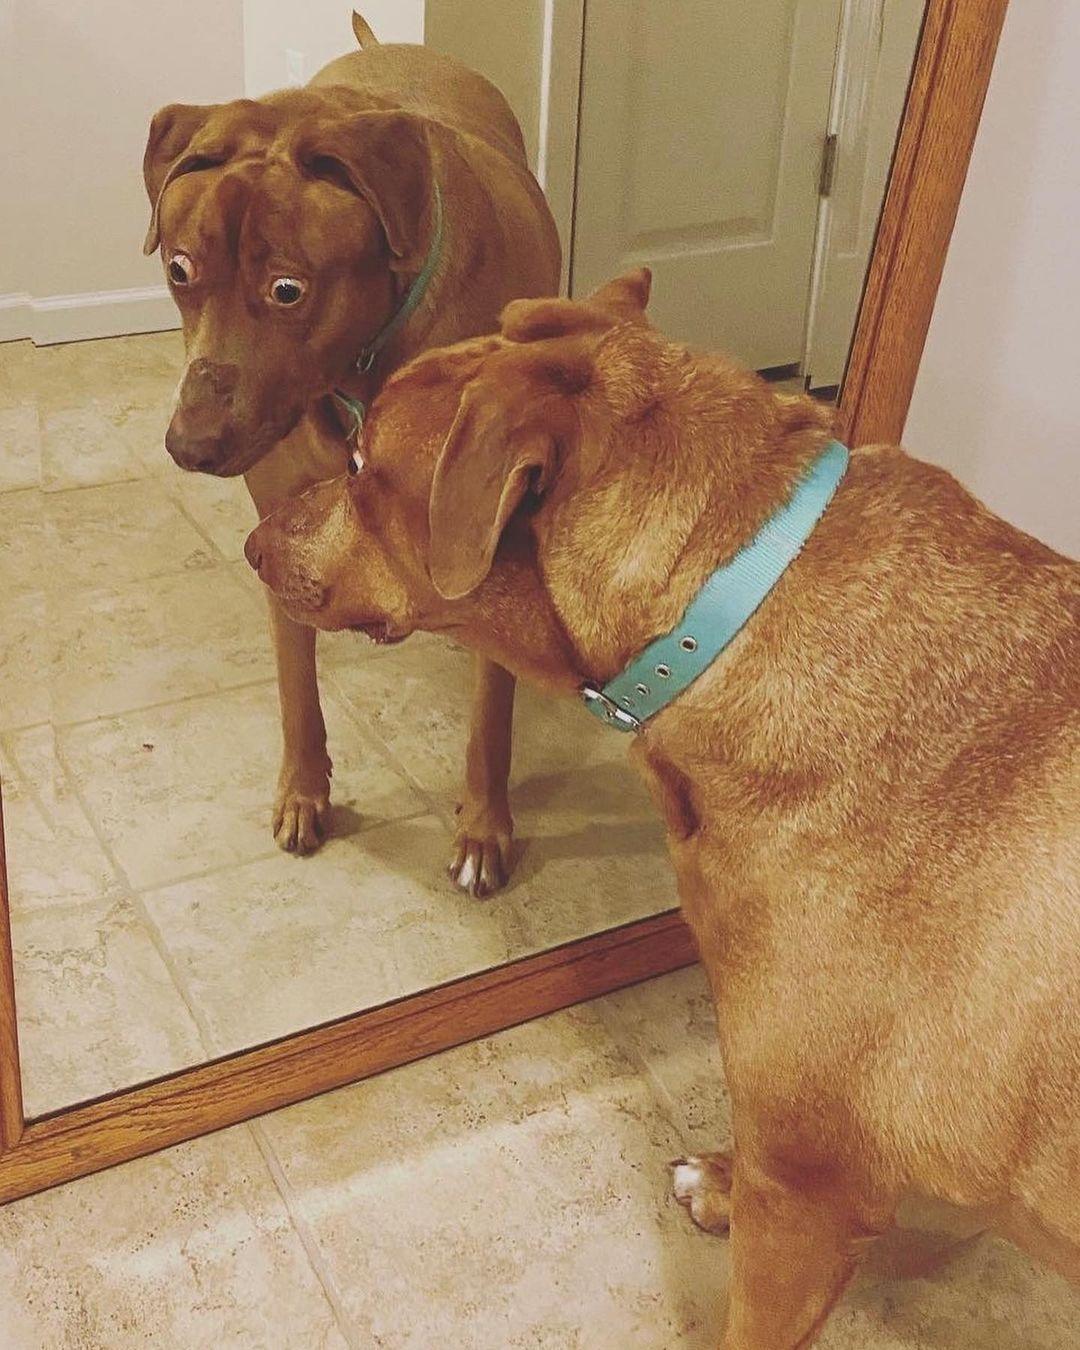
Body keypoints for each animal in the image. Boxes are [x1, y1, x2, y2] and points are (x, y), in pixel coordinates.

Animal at [141, 10, 556, 885]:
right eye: (179, 271)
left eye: (288, 290)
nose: (188, 446)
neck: (361, 365)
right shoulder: (278, 518)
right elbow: (297, 689)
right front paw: (304, 793)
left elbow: (490, 716)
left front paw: (485, 829)